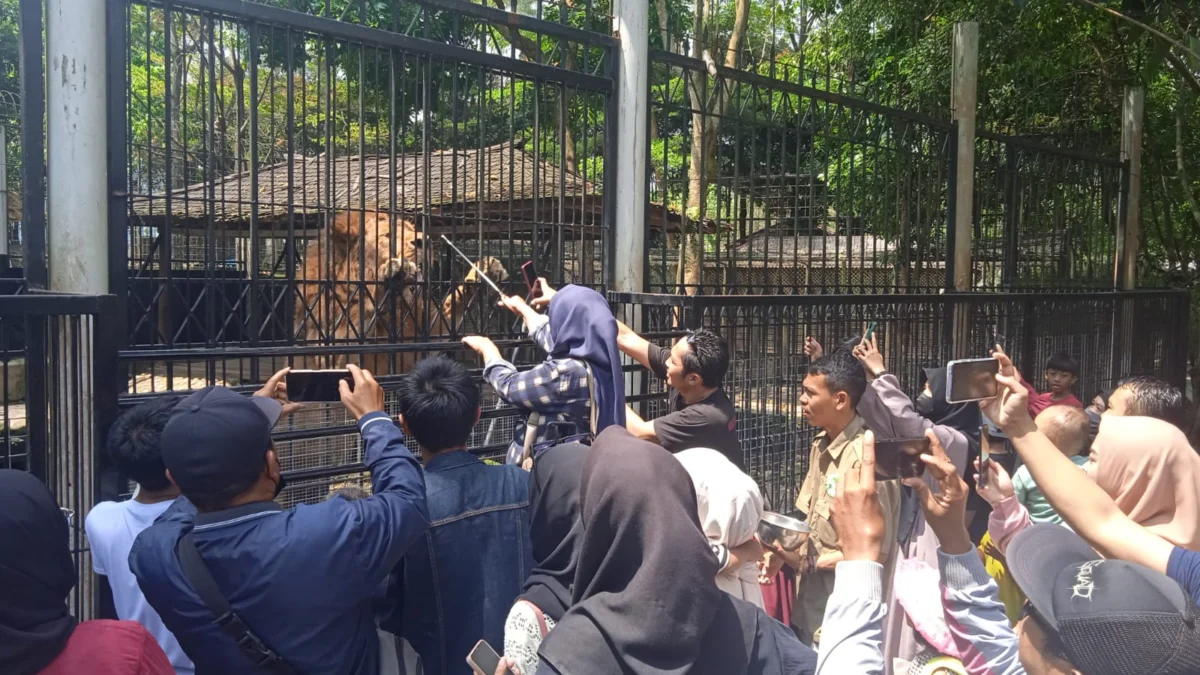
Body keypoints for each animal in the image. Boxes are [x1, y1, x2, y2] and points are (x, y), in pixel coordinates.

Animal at [300, 210, 511, 372]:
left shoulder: (417, 343)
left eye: (412, 231)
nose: (424, 241)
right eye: (387, 236)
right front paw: (394, 273)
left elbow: (450, 308)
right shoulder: (325, 353)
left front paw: (484, 272)